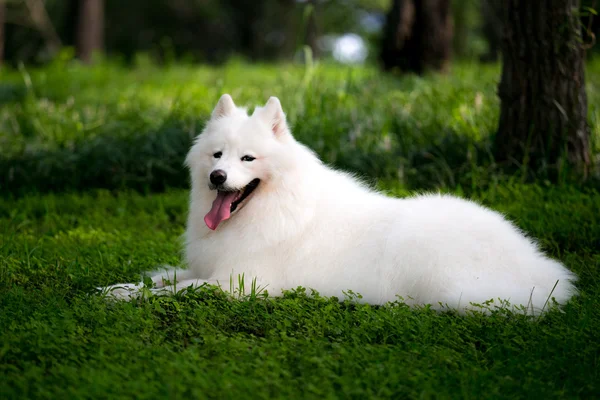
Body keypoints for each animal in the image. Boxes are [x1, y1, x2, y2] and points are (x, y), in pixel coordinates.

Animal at [102, 94, 576, 316]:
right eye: (217, 155)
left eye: (247, 160)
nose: (218, 178)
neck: (273, 208)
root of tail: (541, 269)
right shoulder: (208, 267)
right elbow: (160, 278)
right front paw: (115, 289)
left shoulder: (240, 283)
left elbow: (175, 290)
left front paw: (129, 297)